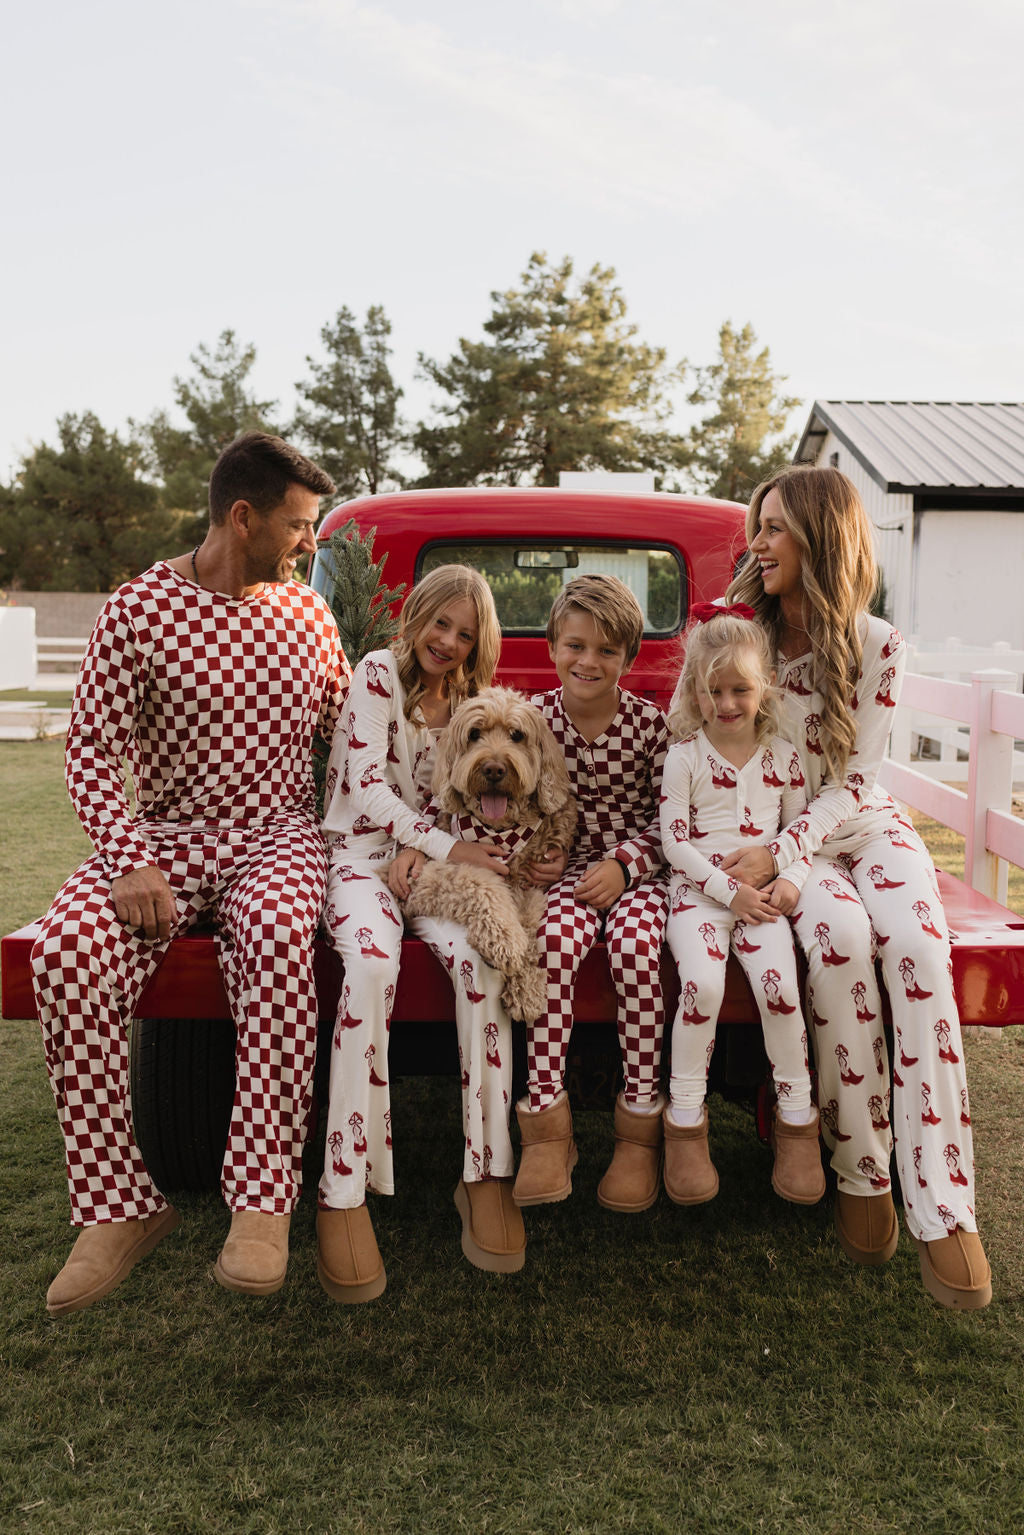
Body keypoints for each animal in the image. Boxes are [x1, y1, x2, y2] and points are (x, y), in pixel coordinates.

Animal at [399, 687, 580, 1019]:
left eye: (517, 734)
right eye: (474, 734)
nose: (494, 769)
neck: (500, 832)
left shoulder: (529, 888)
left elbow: (529, 929)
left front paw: (526, 986)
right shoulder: (425, 879)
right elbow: (483, 884)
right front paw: (506, 941)